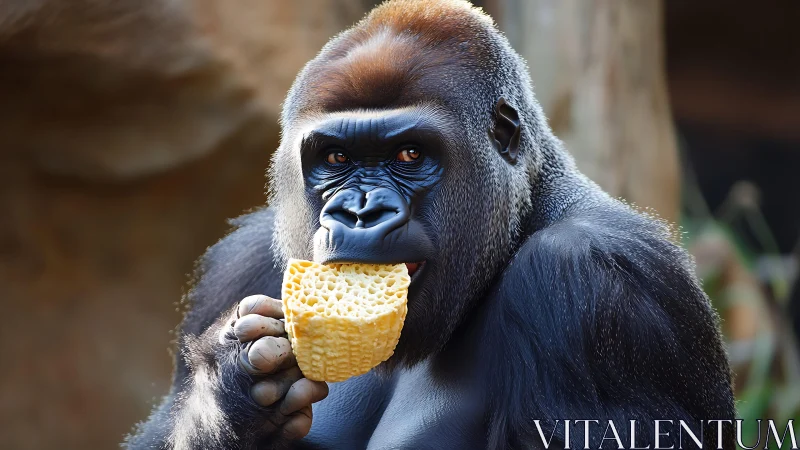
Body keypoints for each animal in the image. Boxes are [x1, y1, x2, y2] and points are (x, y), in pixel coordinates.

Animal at [126, 0, 736, 448]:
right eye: (336, 158)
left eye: (409, 154)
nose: (360, 211)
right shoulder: (239, 261)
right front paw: (224, 399)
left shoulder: (596, 282)